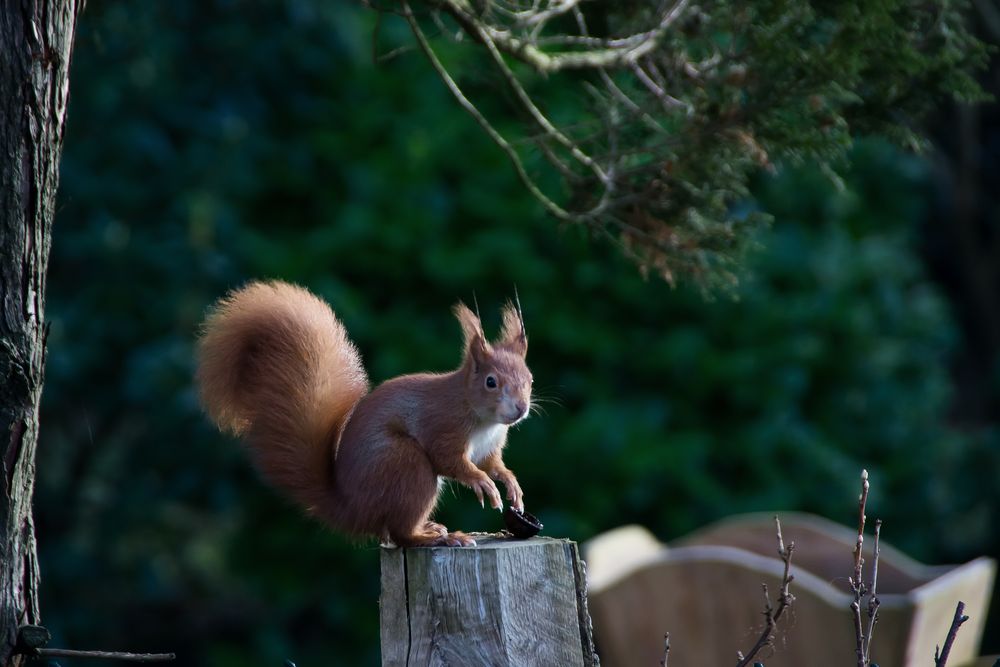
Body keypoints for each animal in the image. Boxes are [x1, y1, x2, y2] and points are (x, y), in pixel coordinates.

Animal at [193, 282, 532, 548]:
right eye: (491, 382)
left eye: (529, 379)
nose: (521, 409)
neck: (483, 419)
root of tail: (351, 508)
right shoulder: (442, 425)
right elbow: (450, 460)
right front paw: (481, 482)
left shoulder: (489, 445)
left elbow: (491, 463)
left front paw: (509, 482)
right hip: (404, 464)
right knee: (400, 533)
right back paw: (437, 537)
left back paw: (431, 528)